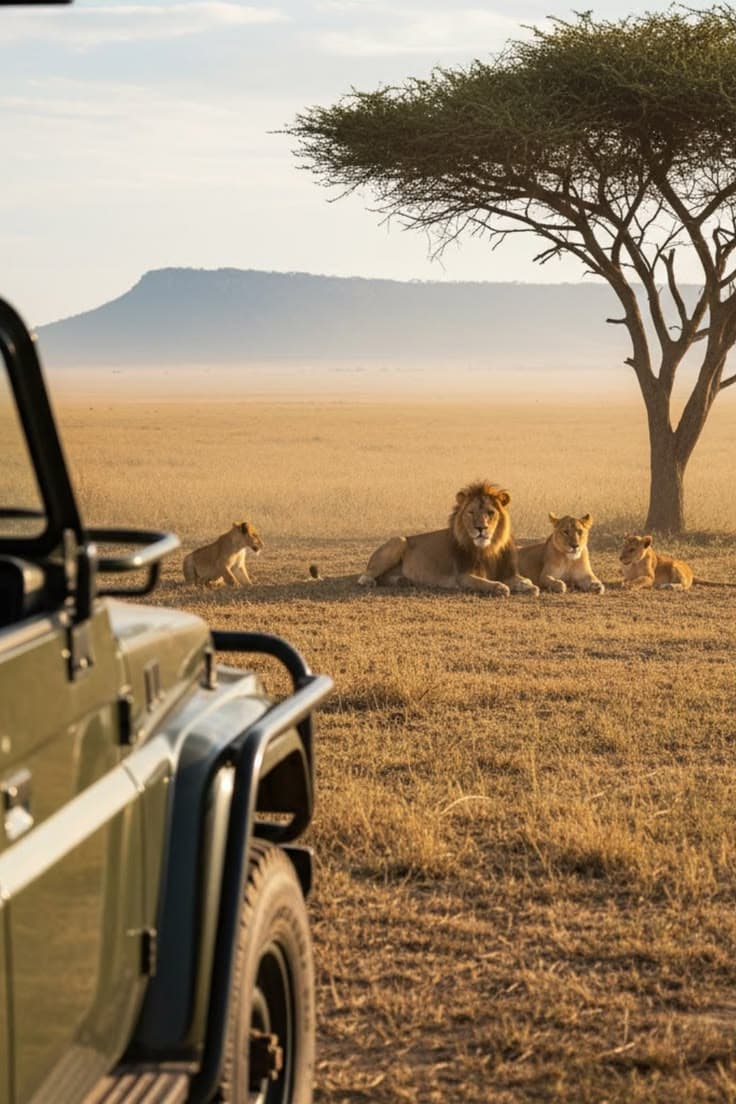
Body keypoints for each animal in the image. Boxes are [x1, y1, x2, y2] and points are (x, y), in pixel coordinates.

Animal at [357, 480, 539, 597]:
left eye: (490, 512)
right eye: (471, 512)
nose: (481, 528)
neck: (489, 548)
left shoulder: (506, 572)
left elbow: (526, 580)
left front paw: (529, 586)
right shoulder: (463, 576)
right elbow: (485, 582)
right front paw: (500, 587)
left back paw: (403, 581)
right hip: (399, 540)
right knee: (365, 576)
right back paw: (370, 582)